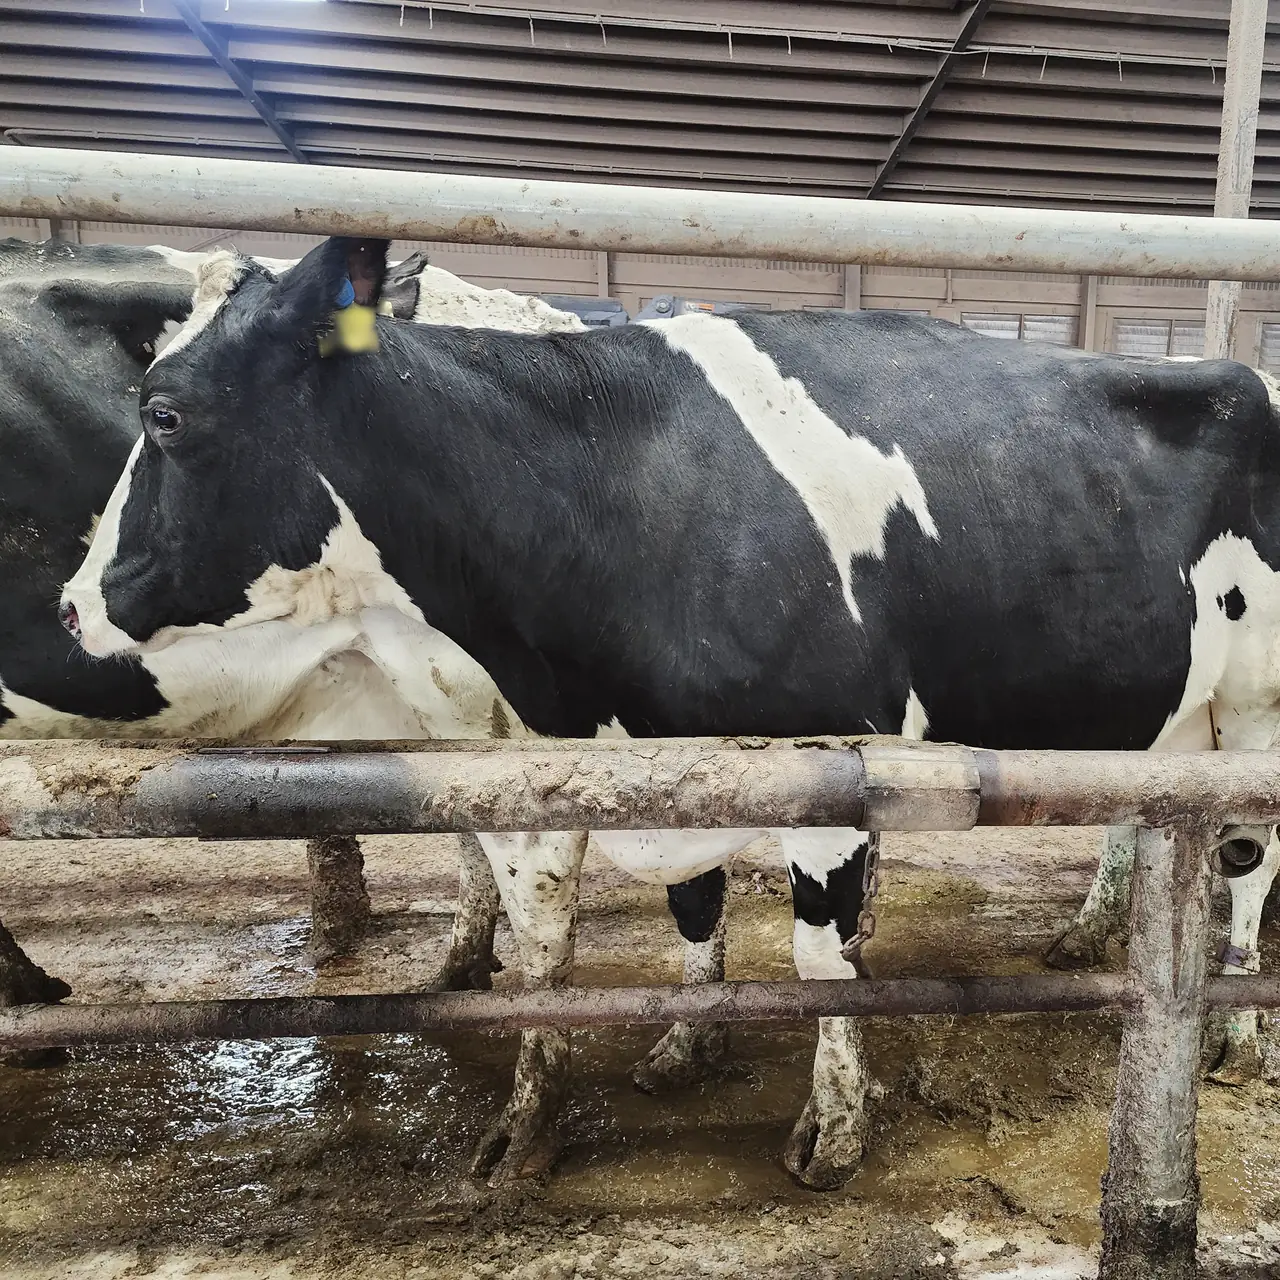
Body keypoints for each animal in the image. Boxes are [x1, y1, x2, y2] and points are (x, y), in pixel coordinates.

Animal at [60, 235, 1280, 1188]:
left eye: (163, 412)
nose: (71, 605)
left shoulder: (827, 767)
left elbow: (820, 960)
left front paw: (835, 1126)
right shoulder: (622, 760)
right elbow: (644, 922)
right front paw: (632, 1070)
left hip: (1259, 710)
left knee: (1250, 866)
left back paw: (1236, 1030)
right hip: (1174, 718)